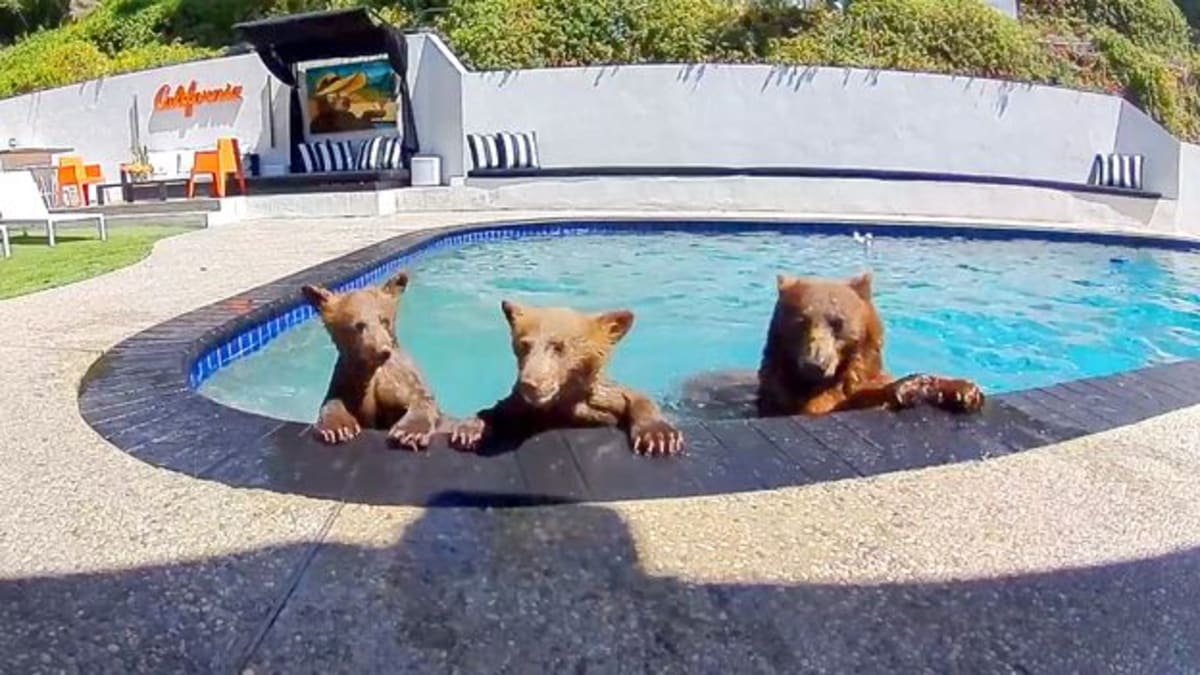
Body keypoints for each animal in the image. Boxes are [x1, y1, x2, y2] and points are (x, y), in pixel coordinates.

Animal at [301, 271, 442, 450]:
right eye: (359, 325)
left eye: (384, 320)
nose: (383, 350)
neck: (371, 369)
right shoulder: (346, 378)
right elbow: (333, 400)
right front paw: (338, 428)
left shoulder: (401, 375)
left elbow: (421, 397)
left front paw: (410, 432)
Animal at [448, 301, 683, 456]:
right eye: (524, 345)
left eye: (558, 346)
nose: (530, 384)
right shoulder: (525, 405)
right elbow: (501, 408)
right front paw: (469, 428)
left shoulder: (601, 397)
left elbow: (634, 397)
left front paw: (659, 436)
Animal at [756, 272, 985, 416]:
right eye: (800, 322)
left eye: (837, 322)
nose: (814, 364)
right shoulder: (786, 396)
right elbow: (825, 405)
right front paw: (908, 387)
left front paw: (963, 390)